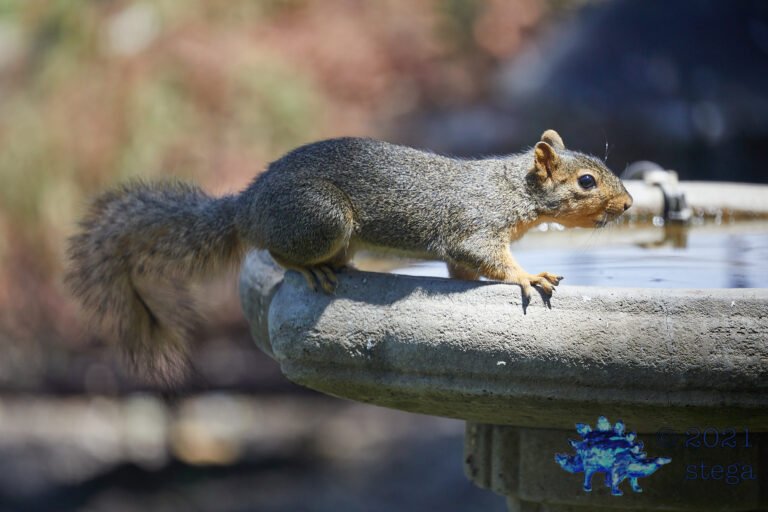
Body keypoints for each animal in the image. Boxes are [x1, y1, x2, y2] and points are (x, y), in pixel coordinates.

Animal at [66, 129, 632, 383]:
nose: (627, 204)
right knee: (278, 253)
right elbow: (485, 256)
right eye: (586, 182)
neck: (512, 188)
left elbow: (460, 269)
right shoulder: (476, 225)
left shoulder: (463, 246)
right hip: (321, 218)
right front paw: (528, 275)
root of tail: (248, 205)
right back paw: (314, 268)